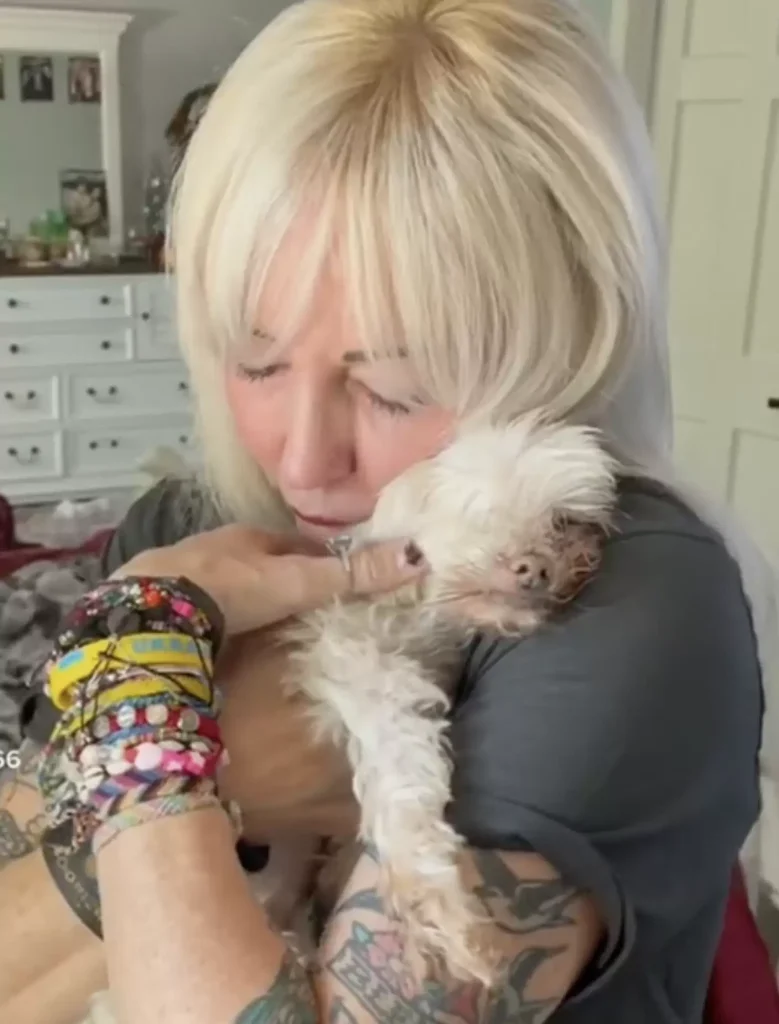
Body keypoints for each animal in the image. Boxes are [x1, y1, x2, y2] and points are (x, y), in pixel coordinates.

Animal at [78, 411, 614, 1019]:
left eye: (563, 522)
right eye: (479, 514)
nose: (537, 568)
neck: (416, 617)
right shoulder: (346, 654)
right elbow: (398, 763)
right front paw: (429, 892)